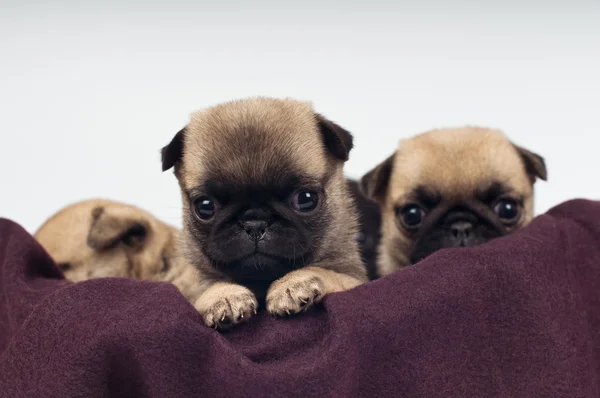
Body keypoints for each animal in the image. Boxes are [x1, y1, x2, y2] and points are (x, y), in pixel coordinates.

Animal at [161, 98, 366, 328]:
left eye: (306, 199)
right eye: (205, 206)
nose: (255, 223)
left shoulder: (354, 279)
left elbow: (326, 272)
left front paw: (294, 283)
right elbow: (208, 287)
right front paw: (223, 296)